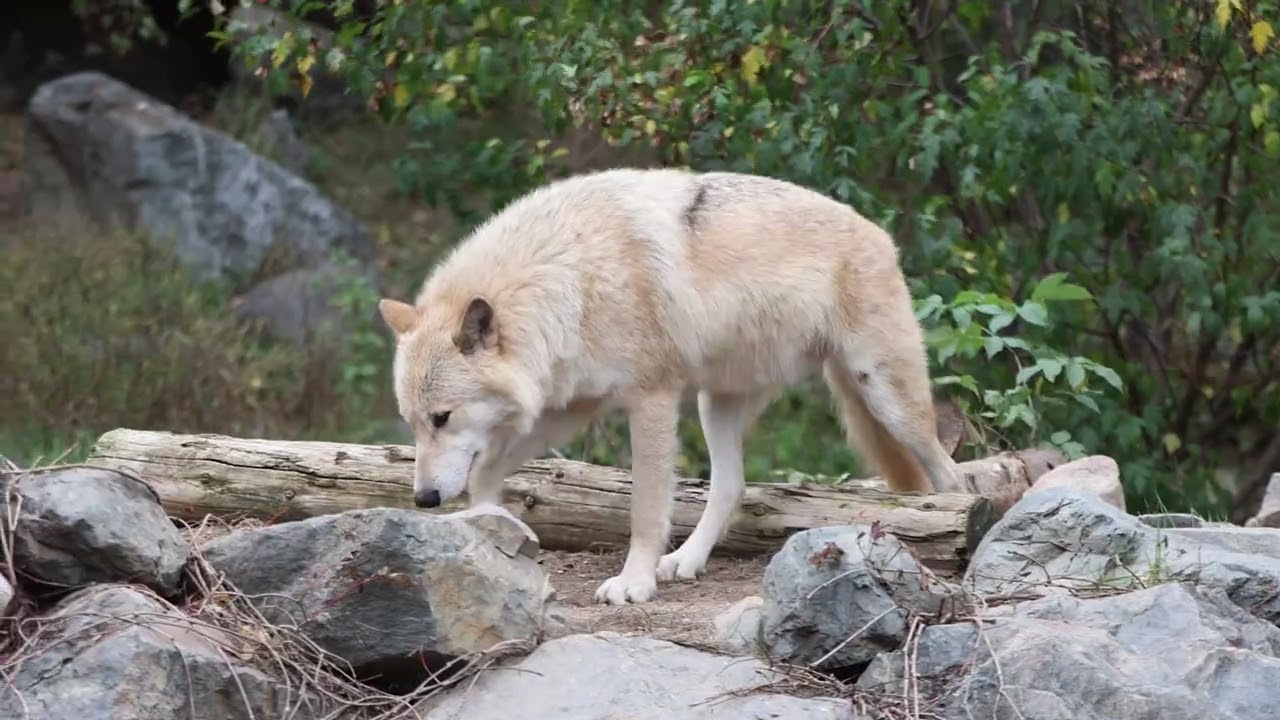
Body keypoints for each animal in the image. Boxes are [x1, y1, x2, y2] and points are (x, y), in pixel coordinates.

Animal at [377, 167, 964, 606]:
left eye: (442, 418)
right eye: (414, 424)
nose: (424, 499)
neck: (572, 272)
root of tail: (879, 233)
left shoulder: (651, 399)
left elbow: (645, 505)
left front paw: (633, 583)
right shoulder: (573, 405)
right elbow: (488, 471)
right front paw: (488, 525)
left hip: (884, 396)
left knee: (950, 473)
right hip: (716, 404)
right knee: (732, 486)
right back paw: (685, 560)